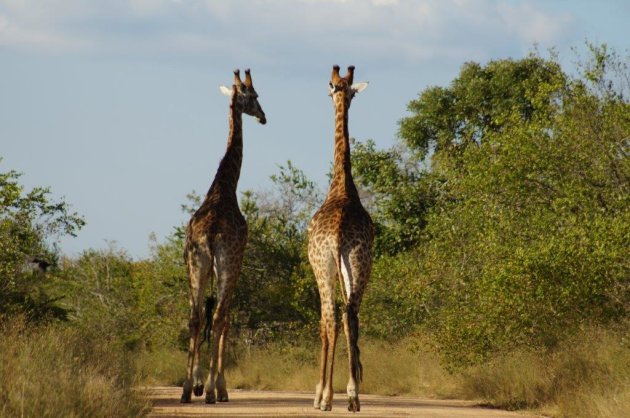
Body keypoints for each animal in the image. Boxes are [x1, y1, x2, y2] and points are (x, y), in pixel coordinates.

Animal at [180, 68, 266, 404]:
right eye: (254, 96)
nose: (264, 117)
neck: (225, 187)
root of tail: (209, 233)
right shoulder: (236, 262)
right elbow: (226, 319)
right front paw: (219, 386)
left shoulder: (208, 266)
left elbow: (204, 316)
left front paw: (199, 382)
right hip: (225, 264)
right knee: (218, 317)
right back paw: (212, 391)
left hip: (196, 263)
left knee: (194, 317)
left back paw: (187, 390)